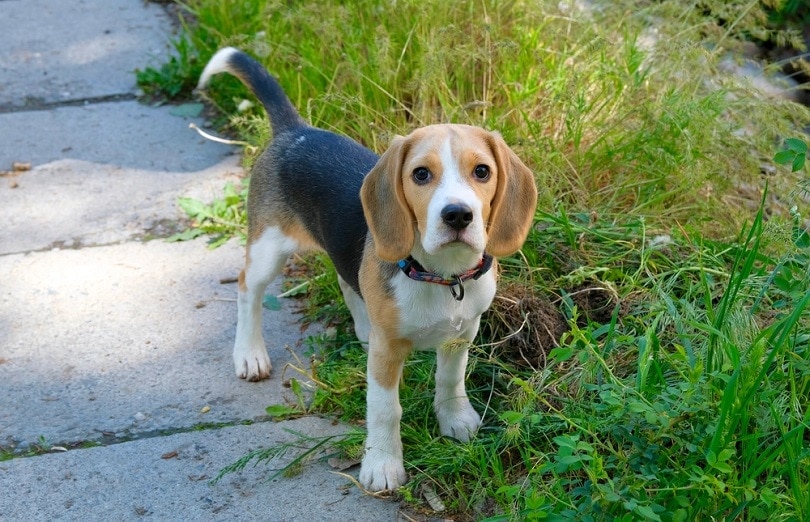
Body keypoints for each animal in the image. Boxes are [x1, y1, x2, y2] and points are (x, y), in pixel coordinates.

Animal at [197, 46, 536, 490]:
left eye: (482, 171)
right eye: (420, 174)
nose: (458, 215)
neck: (441, 276)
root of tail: (295, 131)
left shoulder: (461, 333)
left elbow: (450, 379)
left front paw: (455, 418)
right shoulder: (388, 351)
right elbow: (385, 409)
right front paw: (381, 464)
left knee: (346, 281)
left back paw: (361, 329)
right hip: (268, 246)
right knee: (245, 289)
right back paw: (250, 354)